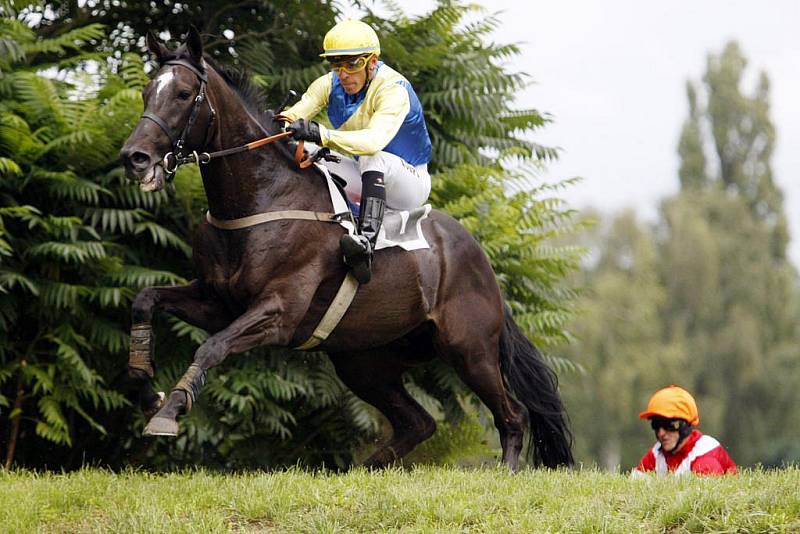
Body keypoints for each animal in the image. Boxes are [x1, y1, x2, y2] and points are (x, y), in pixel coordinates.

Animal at [119, 28, 572, 474]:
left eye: (182, 94)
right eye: (146, 92)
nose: (134, 157)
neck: (260, 199)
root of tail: (478, 259)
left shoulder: (278, 311)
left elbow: (211, 346)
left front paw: (169, 411)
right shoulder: (218, 301)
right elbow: (145, 300)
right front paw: (147, 390)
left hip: (469, 347)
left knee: (513, 414)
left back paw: (507, 470)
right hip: (364, 360)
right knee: (418, 422)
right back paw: (365, 469)